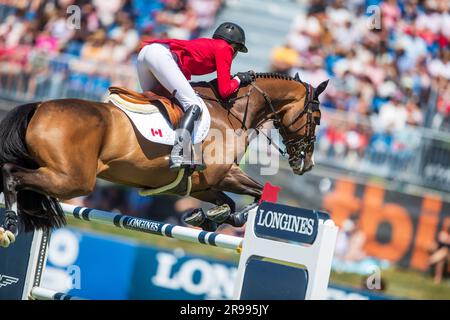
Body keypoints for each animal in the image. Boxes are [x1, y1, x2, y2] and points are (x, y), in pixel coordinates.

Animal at [0, 73, 326, 248]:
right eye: (318, 117)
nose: (306, 164)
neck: (232, 112)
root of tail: (39, 107)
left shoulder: (201, 185)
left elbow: (230, 201)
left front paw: (207, 217)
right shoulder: (223, 174)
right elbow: (260, 194)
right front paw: (228, 218)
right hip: (72, 180)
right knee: (12, 175)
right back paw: (10, 225)